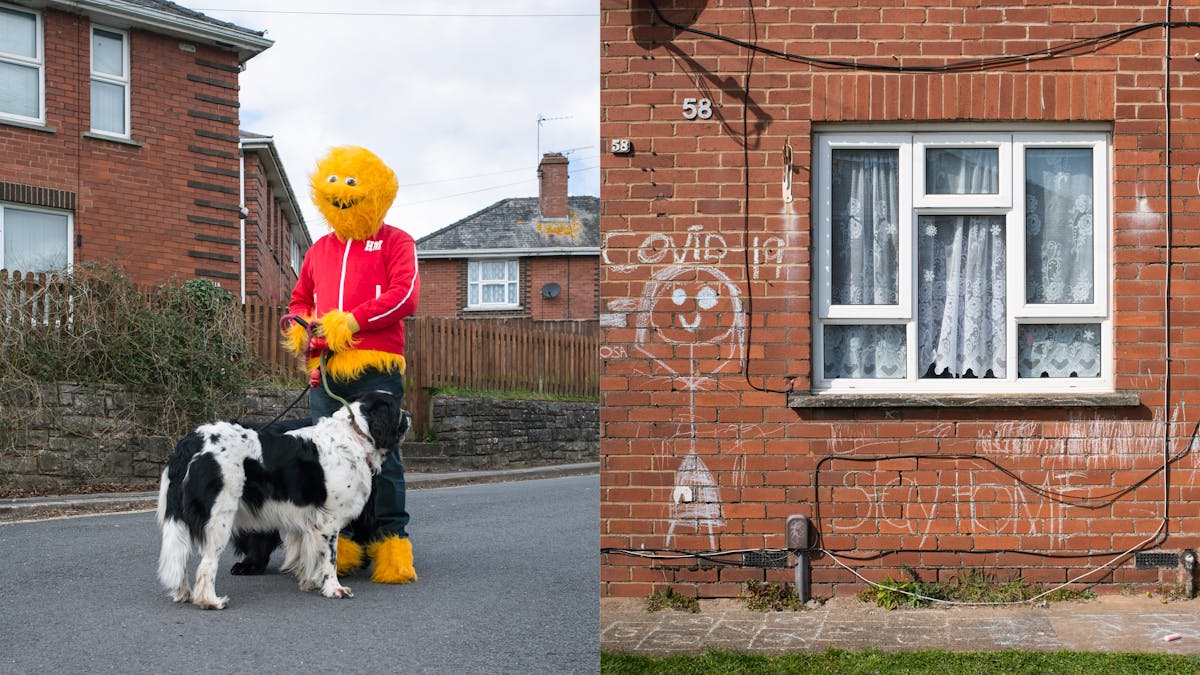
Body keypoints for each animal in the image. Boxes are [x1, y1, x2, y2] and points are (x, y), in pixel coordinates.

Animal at [156, 386, 408, 607]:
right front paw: (333, 588)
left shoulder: (311, 520)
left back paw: (184, 594)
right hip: (219, 517)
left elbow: (311, 554)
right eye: (397, 407)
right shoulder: (329, 520)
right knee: (207, 563)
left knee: (182, 556)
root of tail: (191, 442)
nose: (409, 414)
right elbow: (330, 557)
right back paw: (210, 601)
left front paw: (311, 582)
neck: (353, 436)